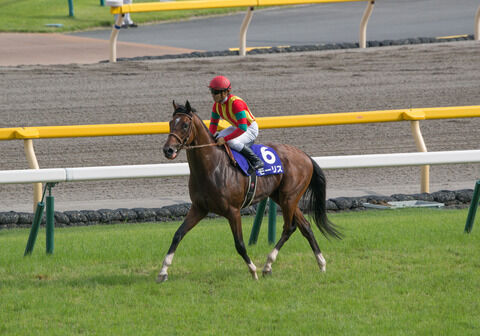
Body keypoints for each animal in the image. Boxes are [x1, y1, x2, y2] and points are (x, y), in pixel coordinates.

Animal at [158, 101, 342, 282]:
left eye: (185, 125)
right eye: (170, 123)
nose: (168, 150)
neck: (212, 167)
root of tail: (305, 155)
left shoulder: (233, 211)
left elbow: (239, 244)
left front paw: (253, 271)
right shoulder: (199, 208)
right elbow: (178, 234)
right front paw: (163, 271)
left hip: (289, 197)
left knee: (289, 227)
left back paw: (267, 265)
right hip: (283, 197)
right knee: (305, 227)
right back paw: (321, 264)